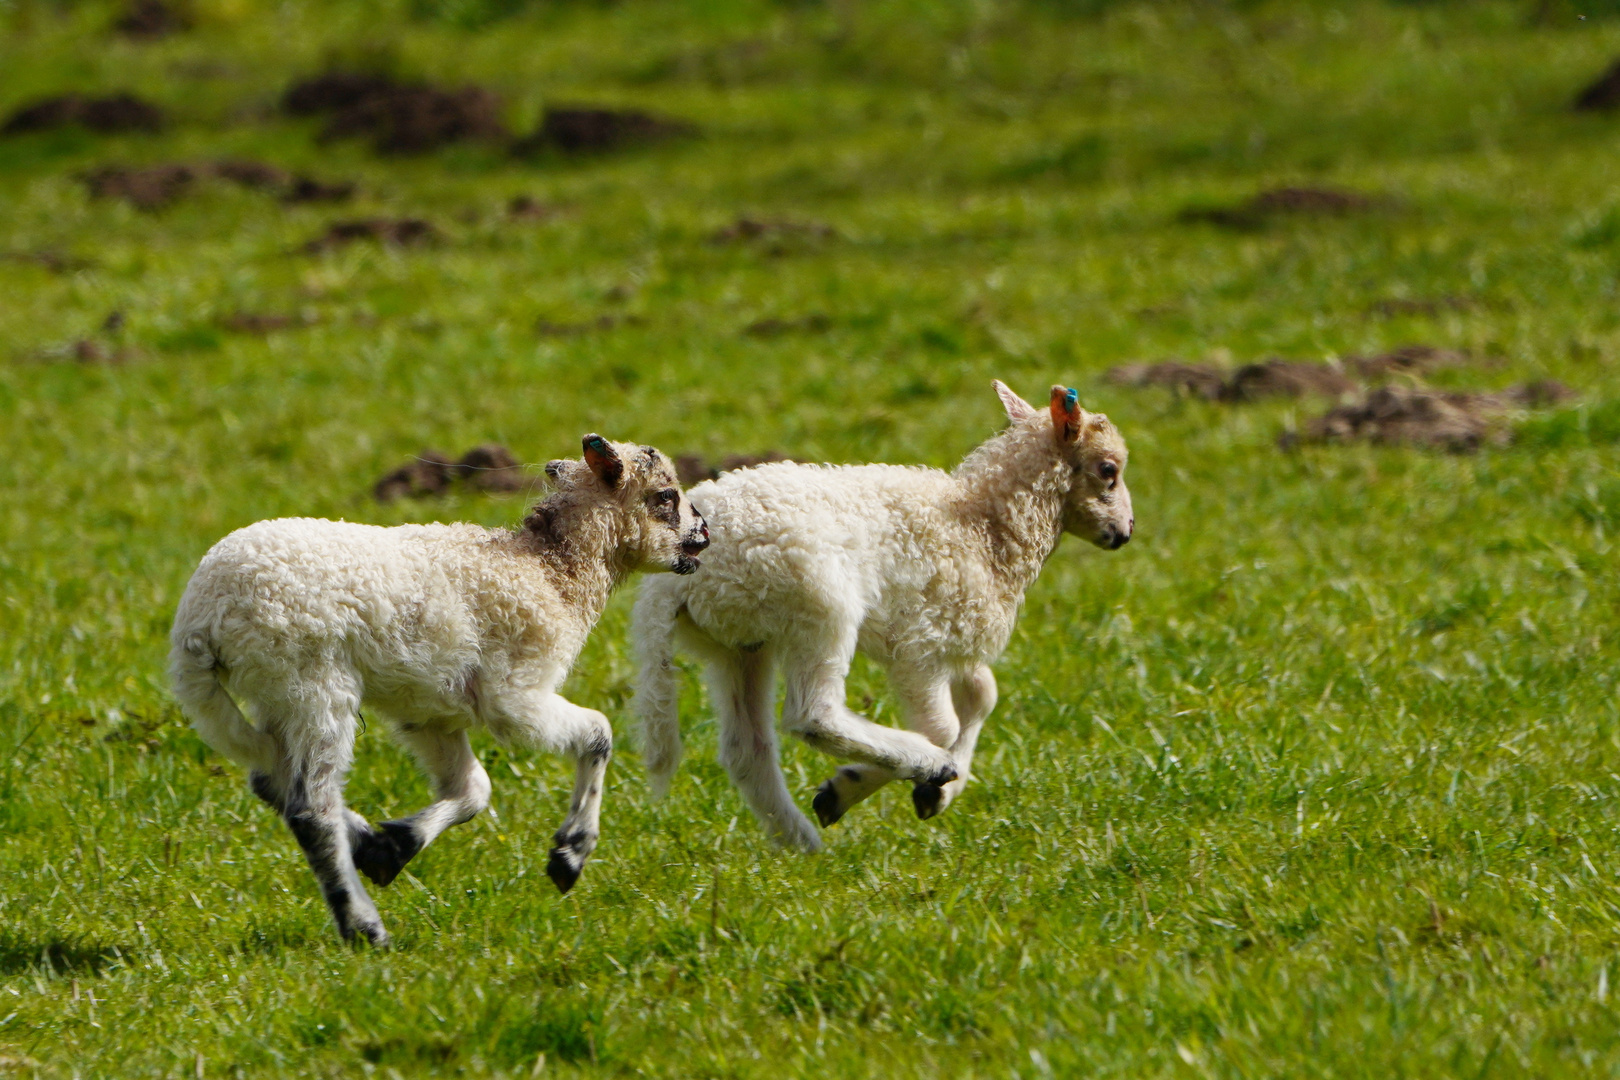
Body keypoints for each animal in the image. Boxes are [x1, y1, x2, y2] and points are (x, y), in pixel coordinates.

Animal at [625, 382, 1134, 854]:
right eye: (1108, 470)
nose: (1126, 533)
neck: (982, 527)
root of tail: (668, 585)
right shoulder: (921, 644)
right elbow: (944, 726)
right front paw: (882, 780)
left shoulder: (954, 630)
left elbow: (983, 696)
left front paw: (939, 793)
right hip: (819, 605)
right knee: (814, 715)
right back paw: (914, 768)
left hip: (738, 642)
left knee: (746, 748)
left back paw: (800, 842)